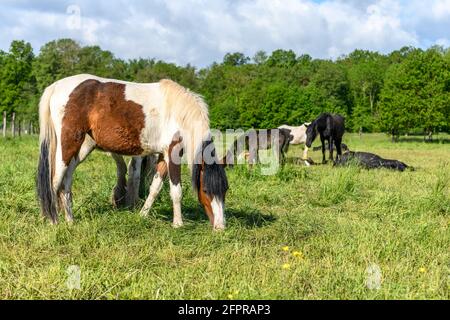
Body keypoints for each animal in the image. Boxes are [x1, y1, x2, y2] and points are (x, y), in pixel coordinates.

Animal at [36, 74, 229, 230]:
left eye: (225, 189)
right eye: (205, 189)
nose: (220, 227)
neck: (179, 113)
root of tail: (56, 86)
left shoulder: (162, 155)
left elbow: (155, 187)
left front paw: (142, 214)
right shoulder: (173, 152)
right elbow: (176, 190)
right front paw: (178, 224)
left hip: (79, 150)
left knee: (65, 183)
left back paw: (70, 221)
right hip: (68, 145)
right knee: (54, 181)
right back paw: (53, 221)